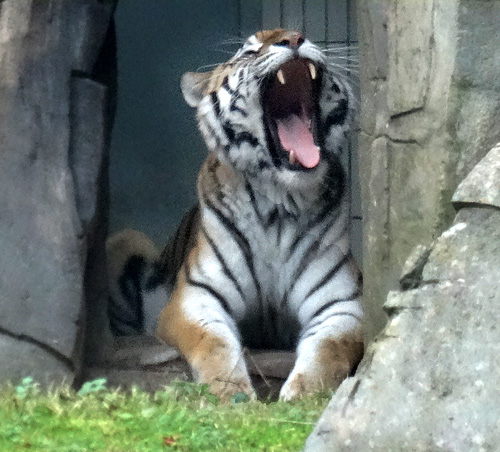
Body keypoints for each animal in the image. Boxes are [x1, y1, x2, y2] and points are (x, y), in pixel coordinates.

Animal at [108, 30, 364, 400]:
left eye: (302, 35)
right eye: (249, 51)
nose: (294, 38)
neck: (279, 202)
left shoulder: (341, 304)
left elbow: (328, 349)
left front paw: (302, 396)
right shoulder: (195, 298)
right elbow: (214, 343)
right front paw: (231, 395)